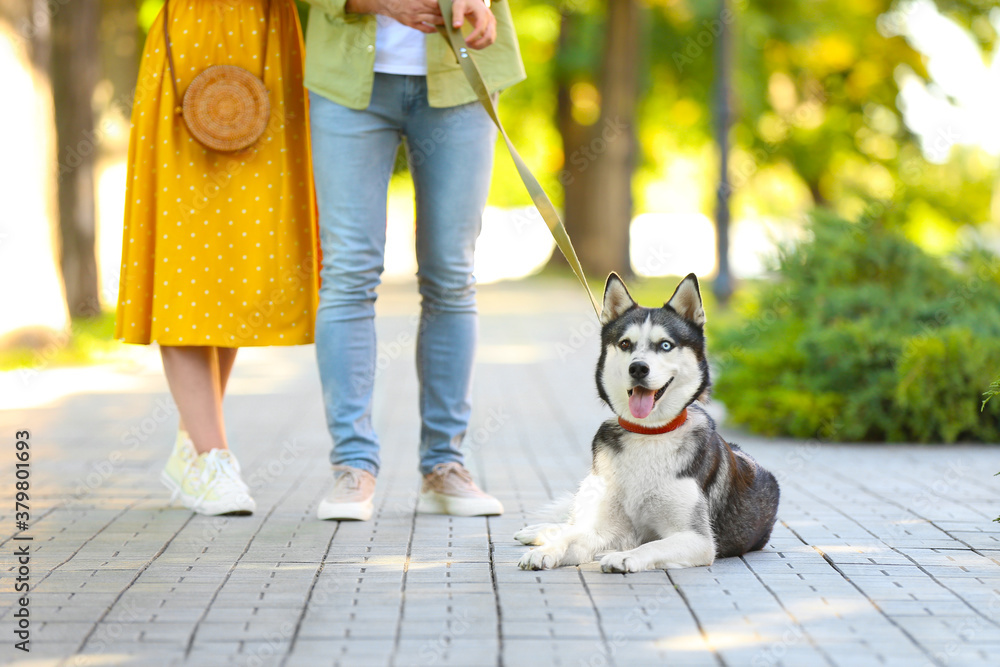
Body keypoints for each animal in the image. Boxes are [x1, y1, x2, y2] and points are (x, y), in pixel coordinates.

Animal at [516, 274, 780, 572]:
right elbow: (574, 537)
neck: (649, 433)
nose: (638, 368)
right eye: (625, 344)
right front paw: (547, 550)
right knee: (573, 523)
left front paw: (623, 557)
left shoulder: (696, 539)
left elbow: (652, 545)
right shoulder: (608, 528)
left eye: (665, 345)